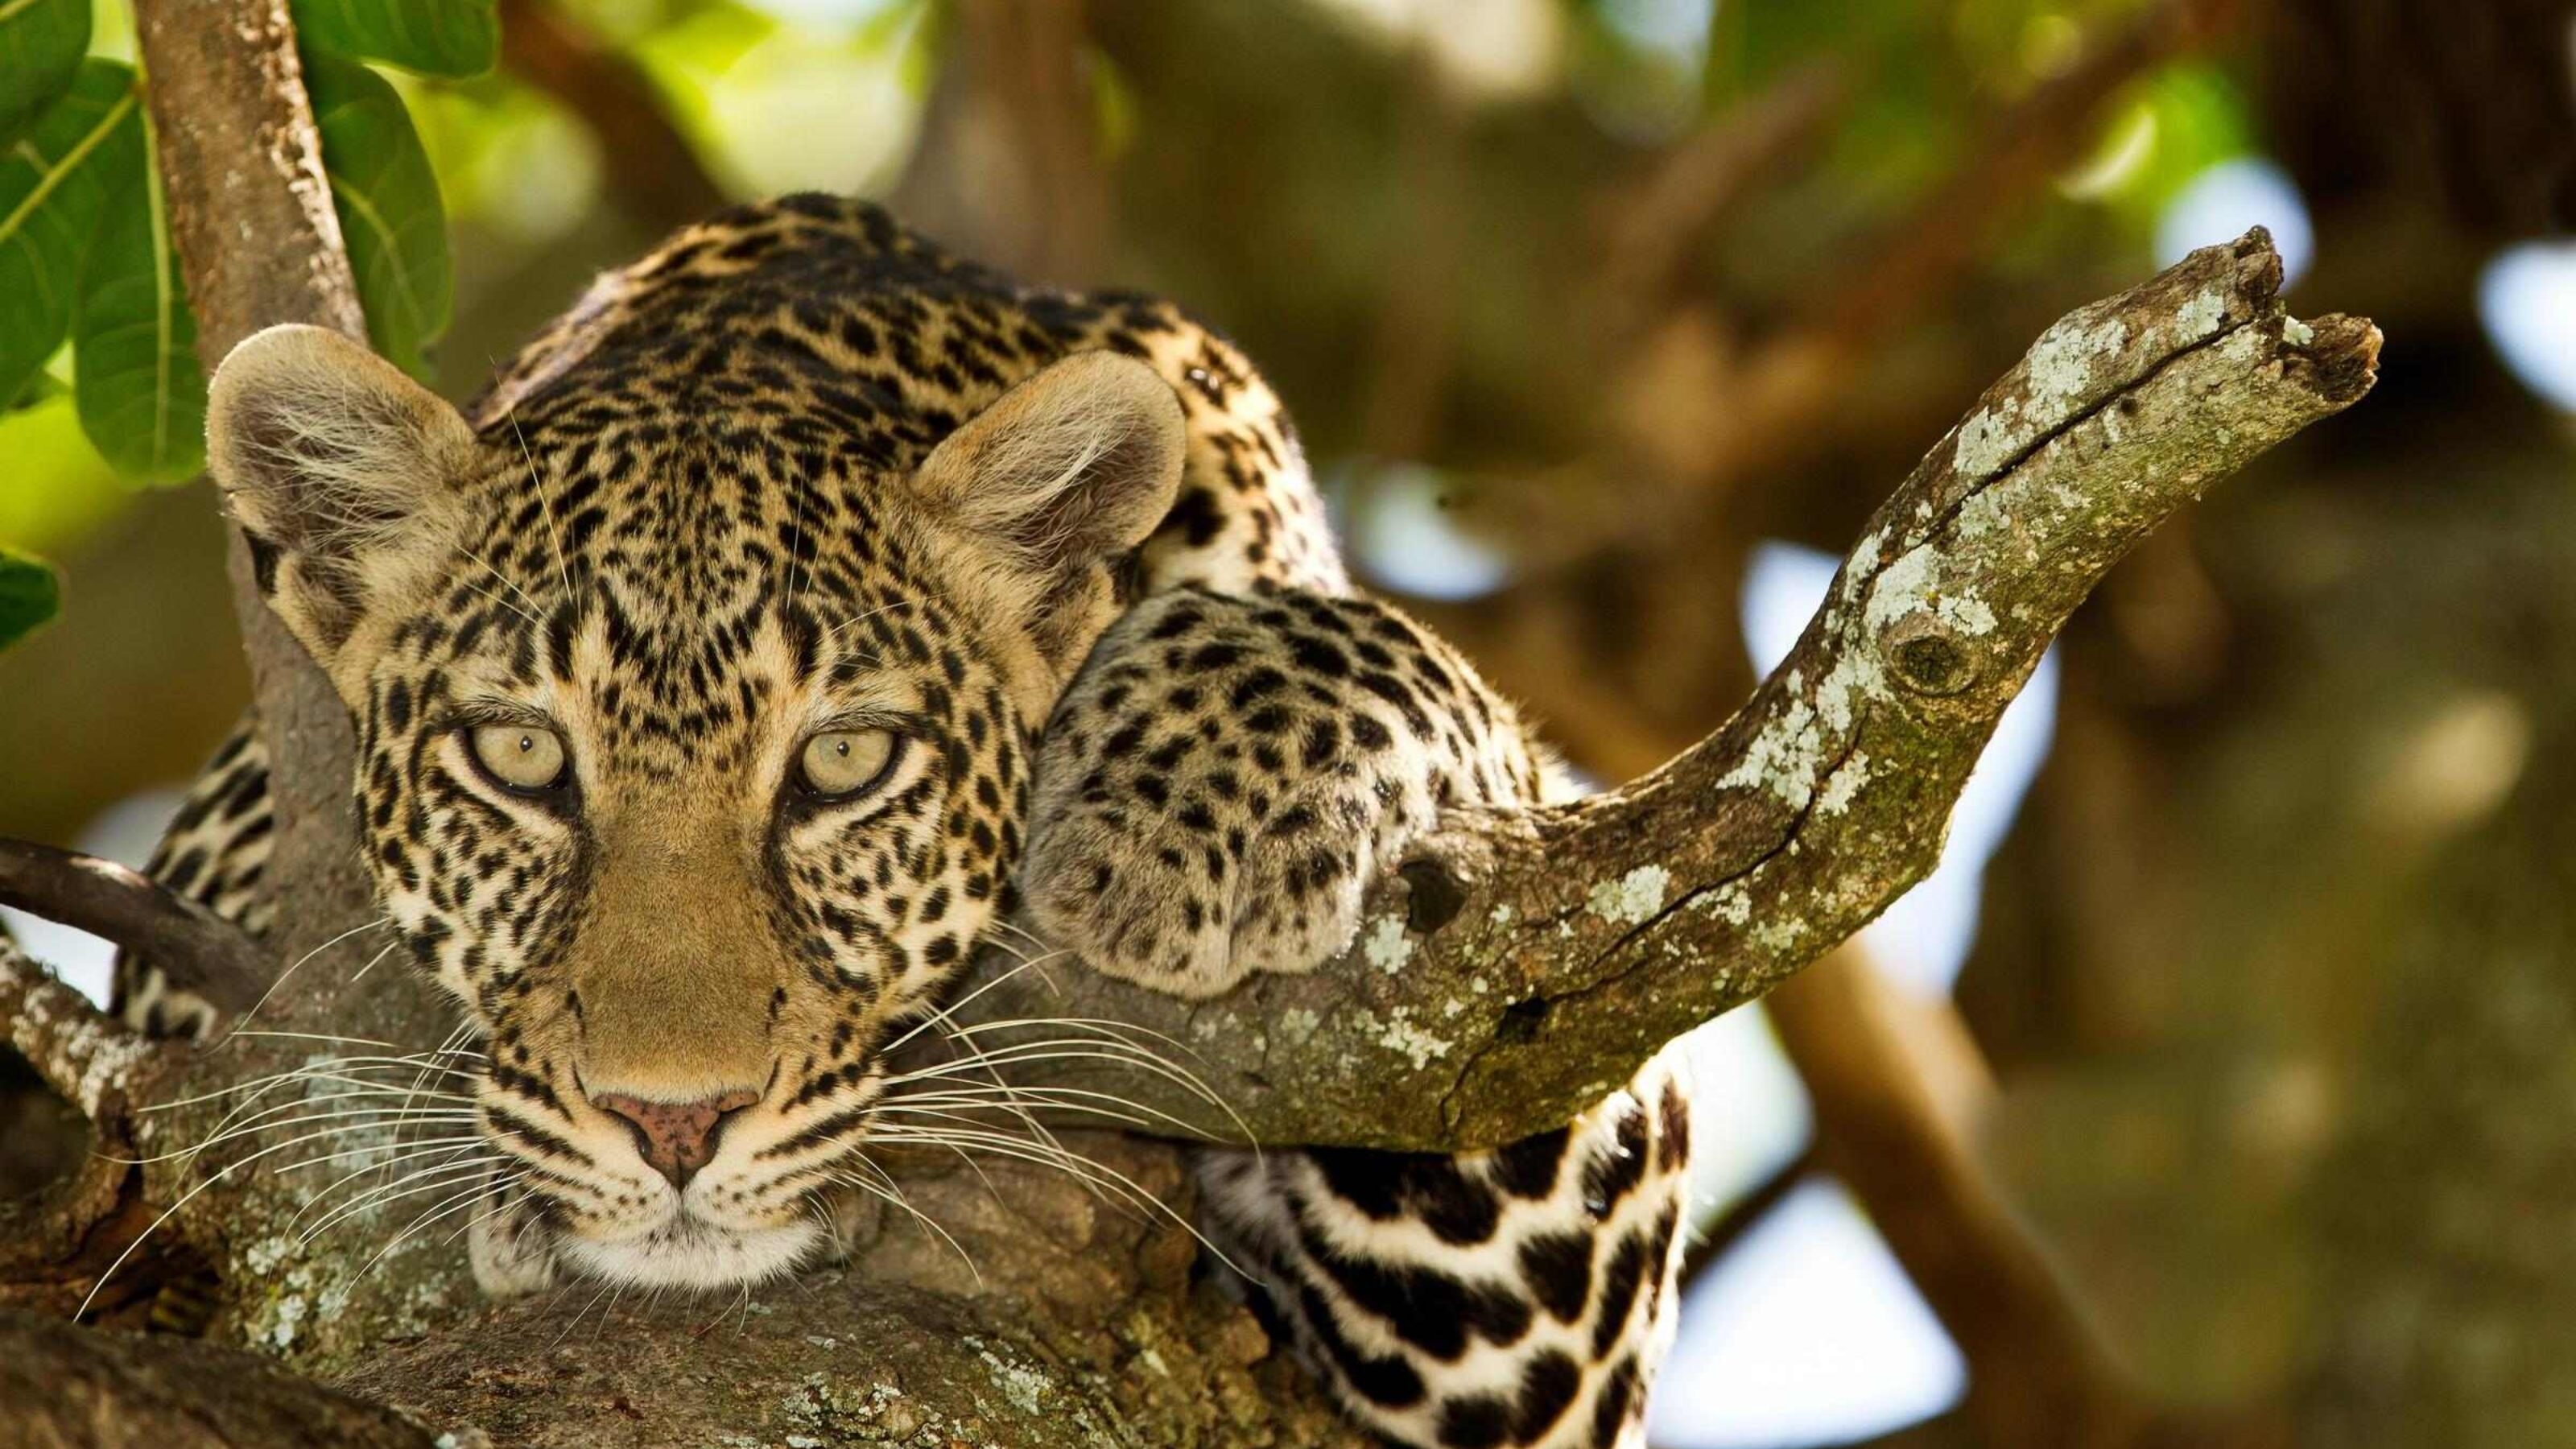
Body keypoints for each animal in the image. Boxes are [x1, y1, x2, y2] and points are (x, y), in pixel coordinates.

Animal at [112, 195, 1694, 1449]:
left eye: (845, 763)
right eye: (520, 756)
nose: (672, 1125)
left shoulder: (1542, 1334)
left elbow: (1389, 671)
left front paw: (1177, 821)